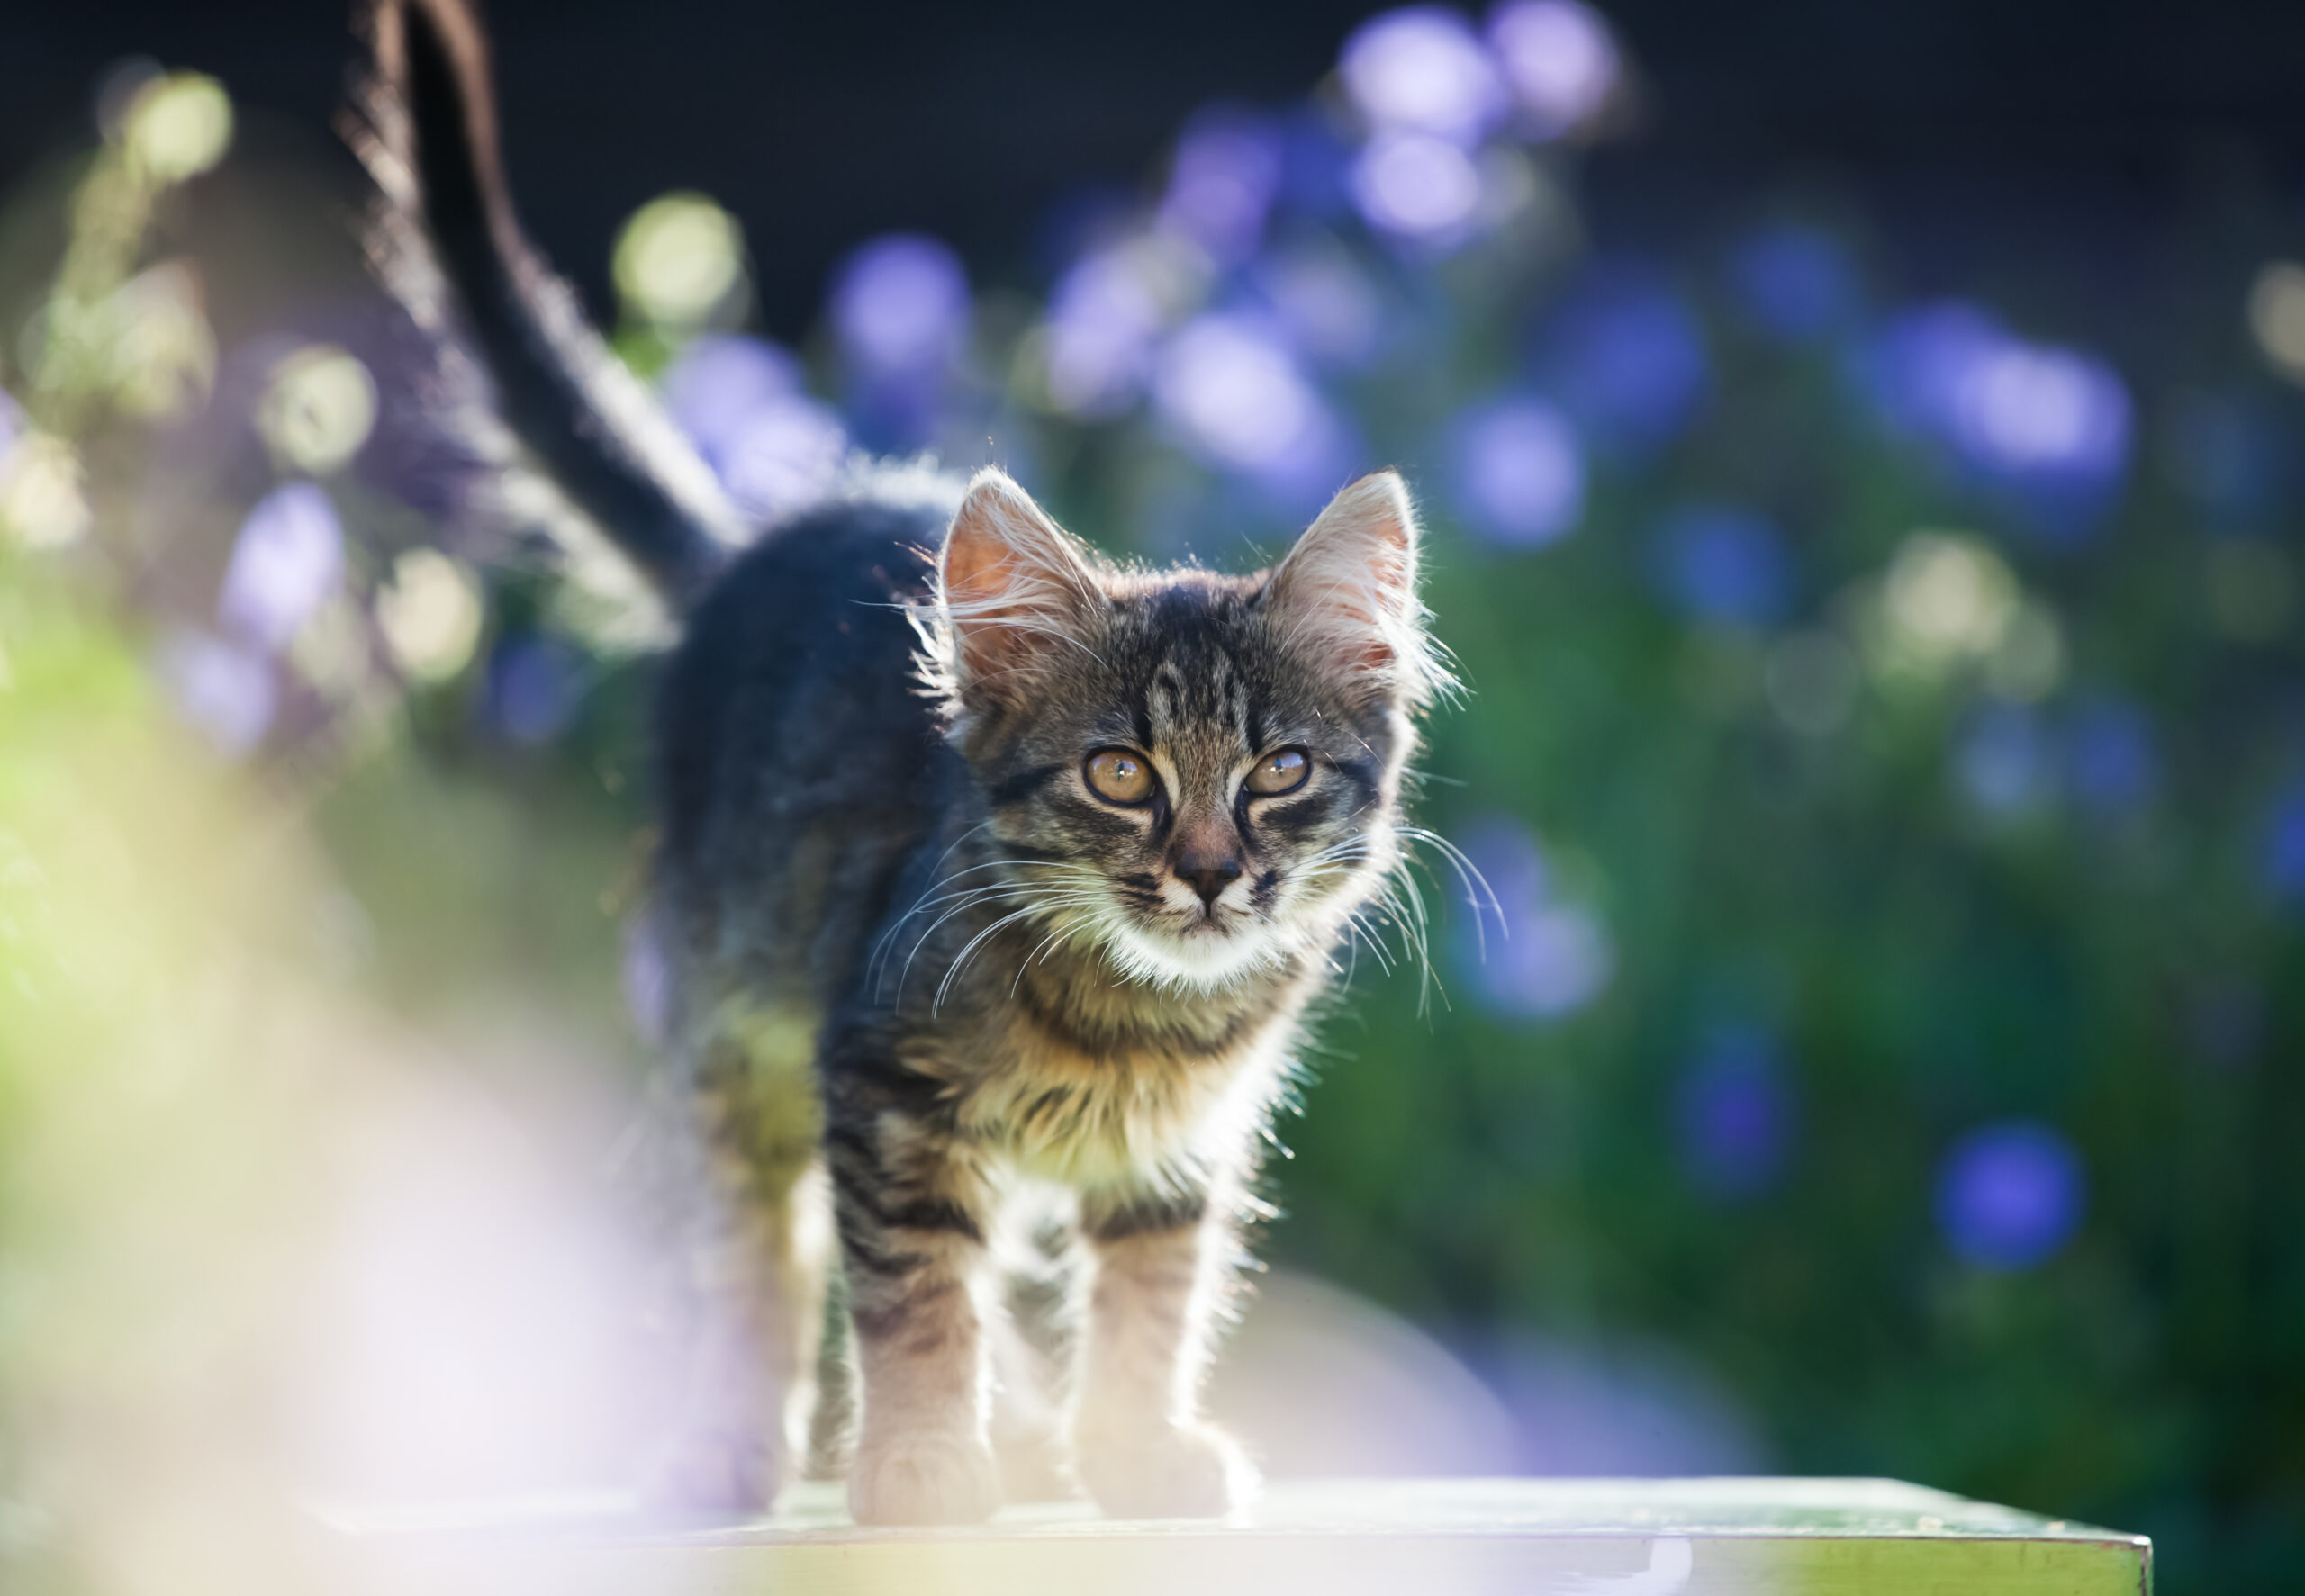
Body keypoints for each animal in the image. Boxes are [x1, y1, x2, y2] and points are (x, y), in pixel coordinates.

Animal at [352, 0, 1447, 1528]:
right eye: (1123, 776)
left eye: (1278, 770)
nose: (1213, 875)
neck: (1133, 1018)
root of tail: (750, 551)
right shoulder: (880, 1089)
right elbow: (917, 1296)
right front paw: (927, 1459)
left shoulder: (1179, 1147)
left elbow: (1151, 1293)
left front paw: (1131, 1447)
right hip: (733, 1036)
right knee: (753, 1257)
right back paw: (728, 1448)